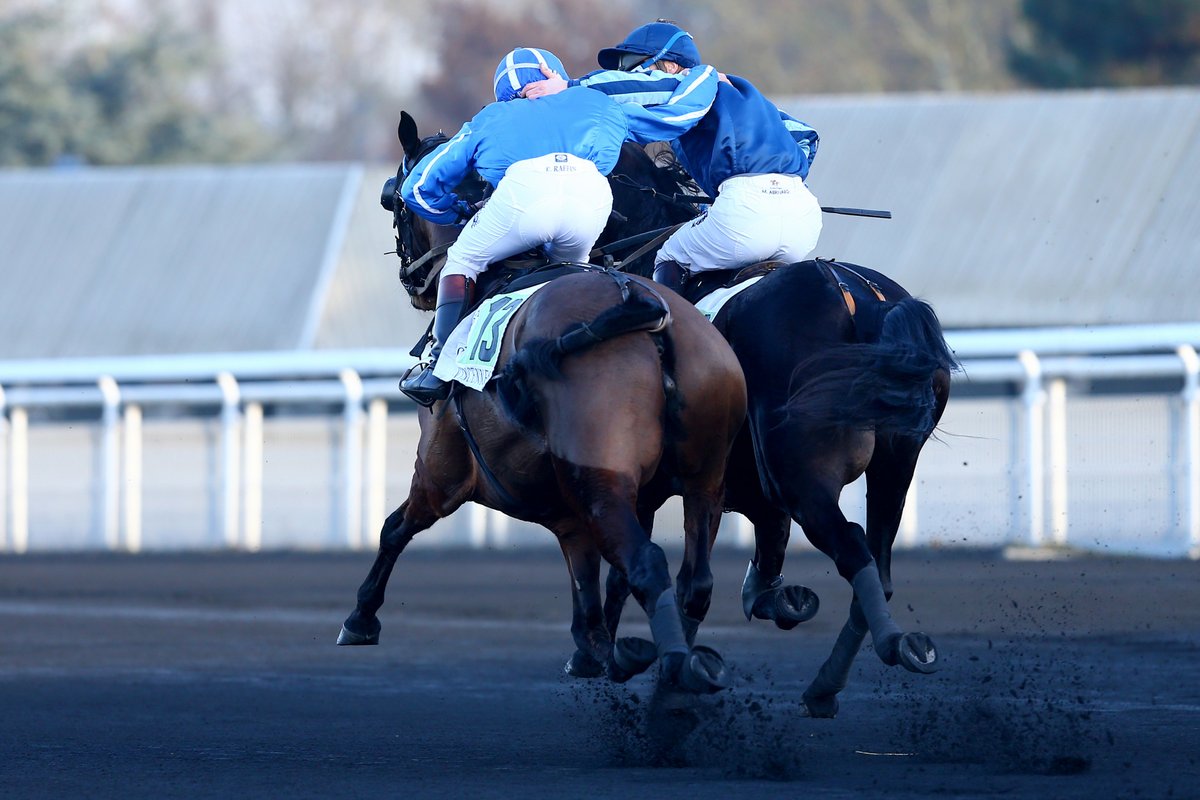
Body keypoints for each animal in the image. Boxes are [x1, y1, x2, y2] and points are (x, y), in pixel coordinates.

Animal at [338, 113, 744, 700]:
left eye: (392, 198)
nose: (414, 281)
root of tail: (656, 320)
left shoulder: (440, 468)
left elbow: (395, 526)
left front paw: (360, 617)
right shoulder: (571, 510)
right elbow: (586, 587)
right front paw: (594, 650)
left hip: (605, 484)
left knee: (648, 563)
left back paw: (671, 668)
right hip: (704, 481)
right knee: (695, 581)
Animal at [595, 145, 960, 719]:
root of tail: (863, 297)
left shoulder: (660, 484)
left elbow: (648, 572)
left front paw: (628, 660)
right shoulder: (742, 489)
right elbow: (735, 569)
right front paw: (772, 600)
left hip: (804, 475)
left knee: (853, 548)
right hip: (894, 466)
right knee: (878, 567)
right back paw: (827, 683)